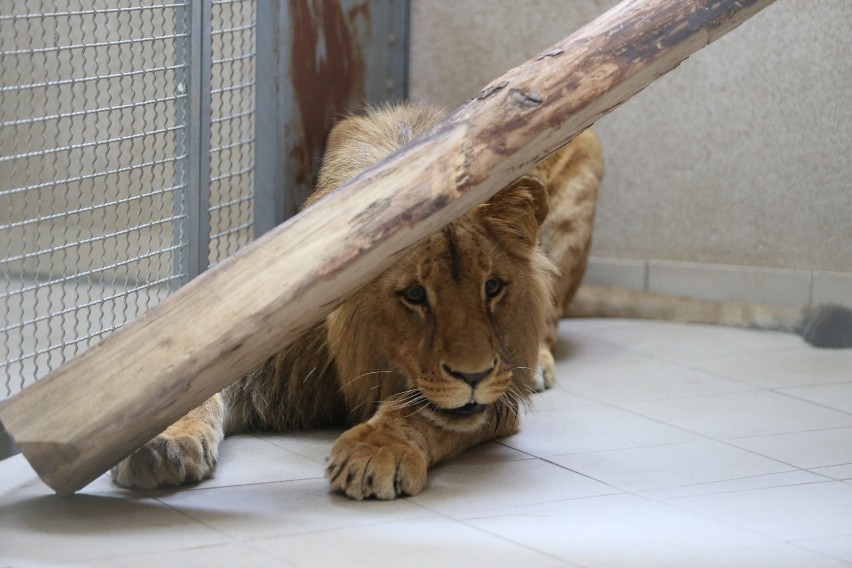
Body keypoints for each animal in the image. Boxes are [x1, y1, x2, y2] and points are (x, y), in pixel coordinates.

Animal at [115, 104, 852, 500]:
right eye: (414, 296)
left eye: (494, 289)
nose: (472, 373)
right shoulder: (268, 351)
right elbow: (197, 394)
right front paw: (159, 446)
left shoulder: (497, 397)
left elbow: (425, 414)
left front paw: (376, 451)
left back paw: (546, 361)